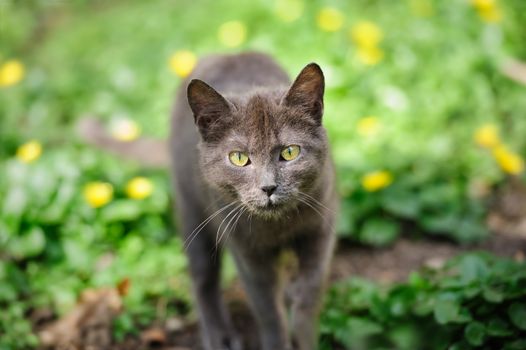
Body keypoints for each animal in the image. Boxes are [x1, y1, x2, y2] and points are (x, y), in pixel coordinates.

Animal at [173, 52, 338, 350]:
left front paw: (305, 335)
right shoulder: (246, 248)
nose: (268, 187)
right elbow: (267, 309)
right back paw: (219, 337)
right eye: (238, 158)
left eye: (290, 152)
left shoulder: (321, 226)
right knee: (203, 279)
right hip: (191, 211)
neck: (278, 226)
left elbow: (311, 288)